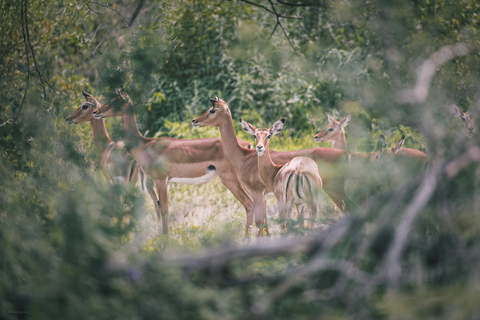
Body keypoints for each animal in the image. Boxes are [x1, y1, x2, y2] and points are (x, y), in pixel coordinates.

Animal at [91, 87, 255, 235]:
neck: (146, 144)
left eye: (115, 101)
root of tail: (247, 145)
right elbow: (163, 208)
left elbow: (163, 209)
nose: (96, 112)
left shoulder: (160, 179)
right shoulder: (167, 181)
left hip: (230, 179)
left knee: (249, 204)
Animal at [193, 96, 354, 234]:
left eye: (212, 110)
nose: (195, 120)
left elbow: (259, 222)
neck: (244, 158)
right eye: (254, 135)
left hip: (334, 190)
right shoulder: (262, 194)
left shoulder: (258, 192)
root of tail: (345, 153)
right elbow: (264, 223)